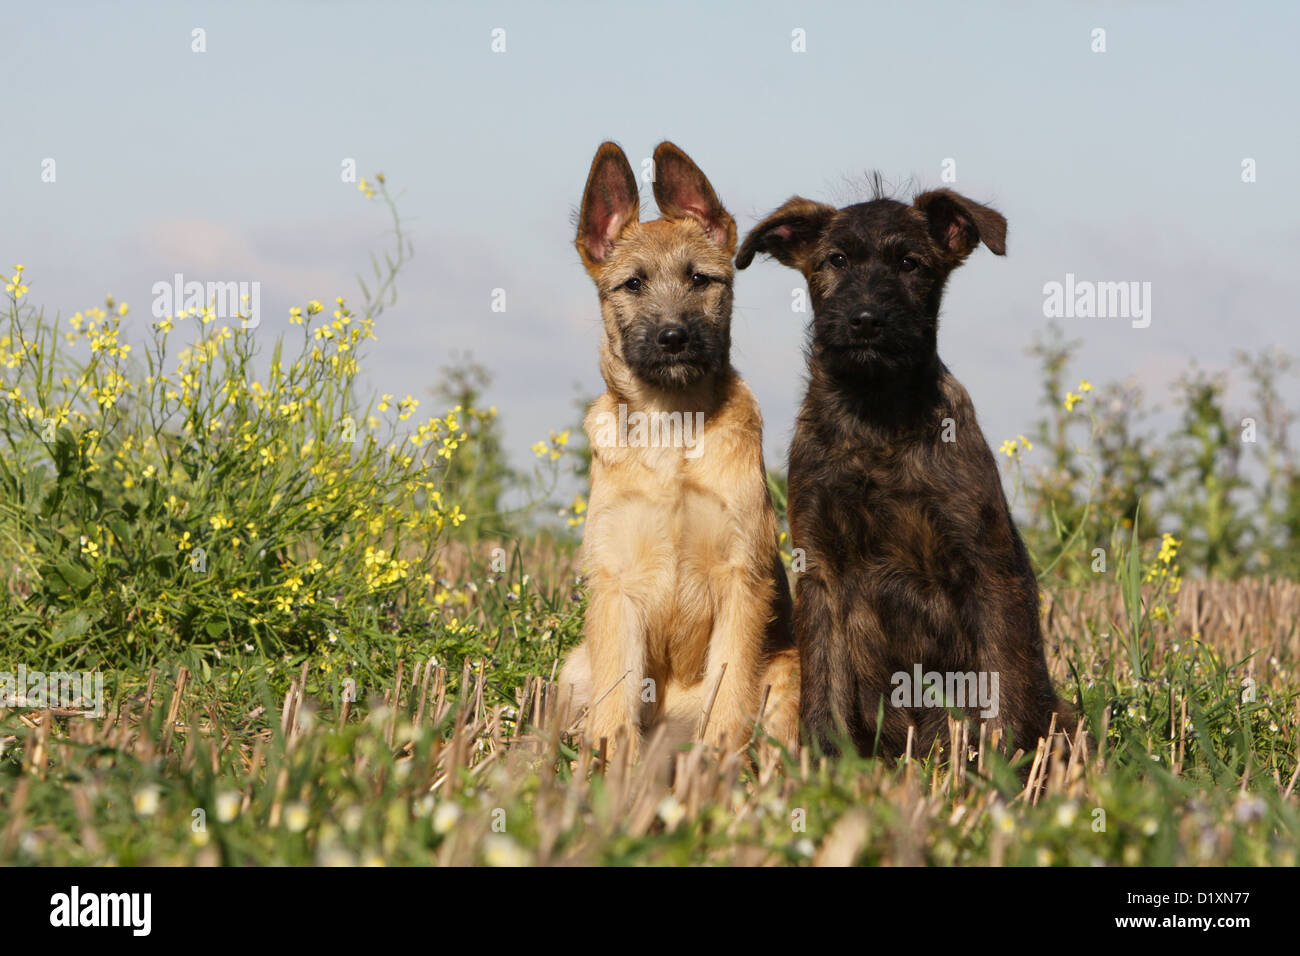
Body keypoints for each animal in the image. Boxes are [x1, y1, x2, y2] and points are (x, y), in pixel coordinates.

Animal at [561, 141, 800, 764]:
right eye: (632, 285)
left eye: (700, 278)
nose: (674, 338)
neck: (672, 432)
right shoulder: (615, 582)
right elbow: (616, 694)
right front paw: (610, 759)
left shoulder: (742, 576)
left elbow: (729, 686)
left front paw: (716, 758)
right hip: (573, 667)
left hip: (790, 669)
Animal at [738, 183, 1071, 759]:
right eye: (836, 260)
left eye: (911, 264)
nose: (866, 319)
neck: (876, 417)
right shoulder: (821, 570)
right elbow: (822, 684)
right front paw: (825, 762)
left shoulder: (988, 568)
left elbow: (1004, 680)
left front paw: (1001, 767)